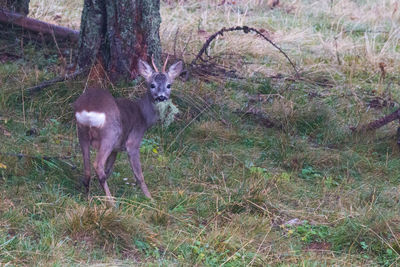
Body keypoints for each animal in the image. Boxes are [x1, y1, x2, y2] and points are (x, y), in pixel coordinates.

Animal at [73, 57, 183, 200]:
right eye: (152, 85)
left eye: (169, 85)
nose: (161, 97)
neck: (143, 116)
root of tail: (89, 108)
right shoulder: (133, 142)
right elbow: (139, 175)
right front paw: (150, 198)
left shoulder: (116, 149)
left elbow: (109, 170)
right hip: (110, 133)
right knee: (98, 165)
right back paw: (111, 201)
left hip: (82, 132)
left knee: (88, 168)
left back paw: (87, 196)